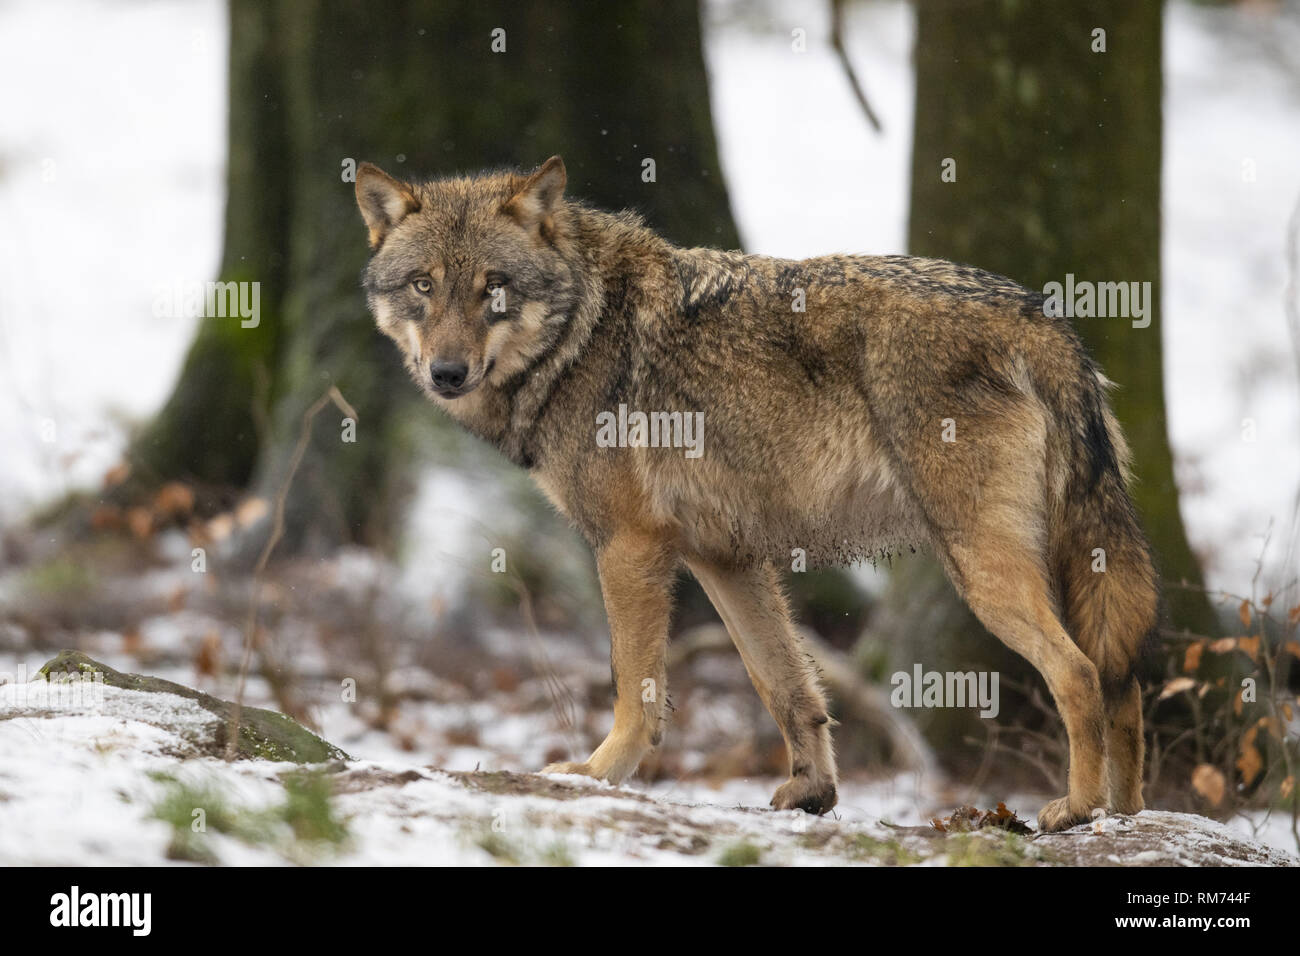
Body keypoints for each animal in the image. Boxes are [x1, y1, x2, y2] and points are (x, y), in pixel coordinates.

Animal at [356, 155, 1159, 832]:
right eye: (423, 285)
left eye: (494, 287)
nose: (447, 373)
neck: (580, 333)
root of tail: (1044, 319)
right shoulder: (724, 556)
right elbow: (786, 686)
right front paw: (813, 792)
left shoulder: (630, 546)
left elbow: (635, 686)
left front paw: (596, 774)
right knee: (1126, 684)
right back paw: (1125, 814)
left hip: (981, 568)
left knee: (1081, 674)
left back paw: (1077, 809)